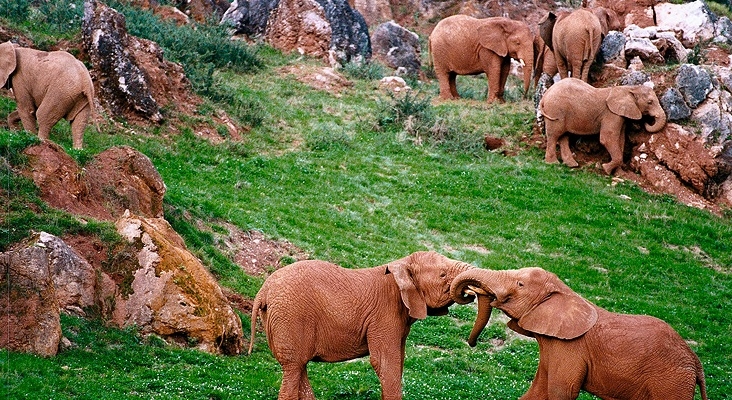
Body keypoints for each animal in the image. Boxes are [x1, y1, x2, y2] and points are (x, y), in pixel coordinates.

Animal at [247, 252, 474, 398]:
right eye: (443, 275)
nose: (470, 292)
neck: (401, 265)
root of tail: (263, 291)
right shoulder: (384, 316)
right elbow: (385, 364)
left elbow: (398, 362)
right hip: (290, 317)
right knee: (294, 368)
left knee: (298, 366)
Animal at [448, 266, 708, 400]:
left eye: (520, 284)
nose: (472, 343)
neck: (565, 291)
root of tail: (696, 363)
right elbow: (539, 389)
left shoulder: (571, 348)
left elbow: (561, 391)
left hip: (671, 382)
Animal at [536, 77, 668, 174]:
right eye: (650, 102)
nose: (647, 122)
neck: (629, 89)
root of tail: (545, 95)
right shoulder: (611, 114)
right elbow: (607, 138)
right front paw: (606, 169)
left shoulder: (621, 115)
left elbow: (620, 140)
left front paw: (619, 174)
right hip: (555, 110)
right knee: (554, 135)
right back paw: (553, 163)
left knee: (564, 136)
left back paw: (572, 164)